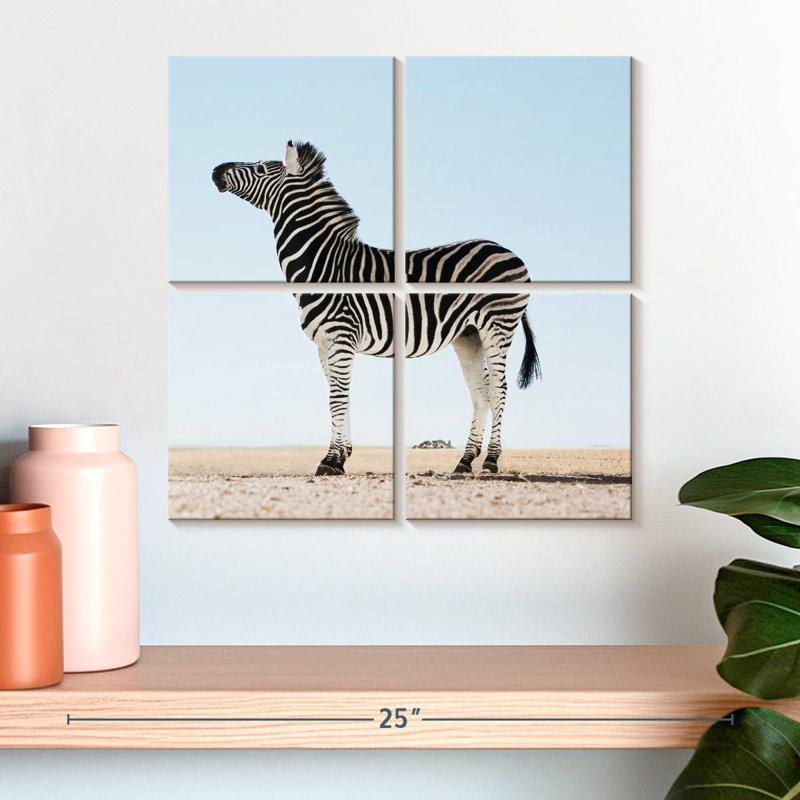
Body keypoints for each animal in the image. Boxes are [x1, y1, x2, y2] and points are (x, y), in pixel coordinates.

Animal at [212, 141, 541, 476]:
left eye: (260, 168)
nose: (215, 170)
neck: (323, 264)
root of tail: (509, 252)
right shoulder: (324, 343)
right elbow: (339, 395)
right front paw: (342, 456)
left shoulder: (341, 336)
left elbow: (337, 398)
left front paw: (330, 460)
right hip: (468, 335)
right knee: (480, 392)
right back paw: (464, 461)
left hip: (497, 325)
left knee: (499, 388)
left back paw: (491, 460)